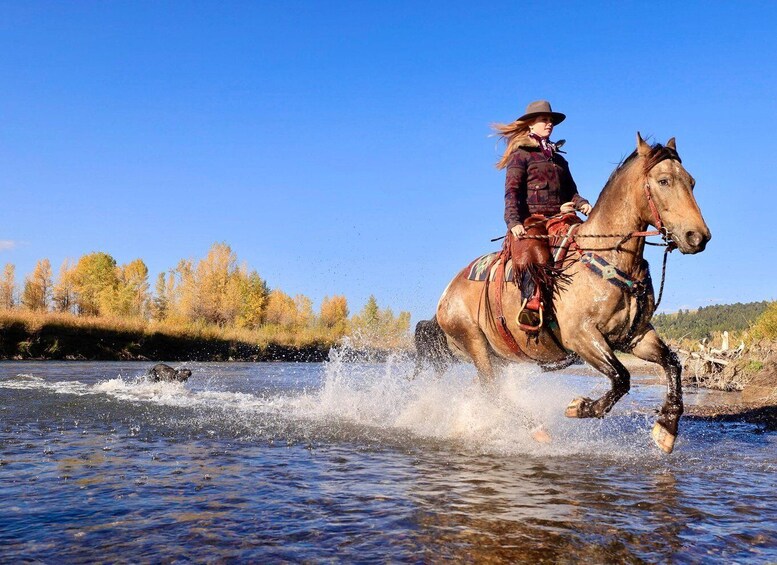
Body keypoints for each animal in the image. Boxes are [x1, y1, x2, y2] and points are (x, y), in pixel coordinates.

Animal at [428, 133, 712, 454]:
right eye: (664, 181)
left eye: (691, 181)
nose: (697, 237)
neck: (609, 258)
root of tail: (446, 294)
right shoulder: (581, 335)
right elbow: (621, 377)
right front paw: (579, 407)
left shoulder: (635, 335)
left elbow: (672, 365)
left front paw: (666, 429)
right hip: (475, 343)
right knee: (492, 391)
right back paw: (536, 429)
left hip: (496, 355)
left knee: (486, 391)